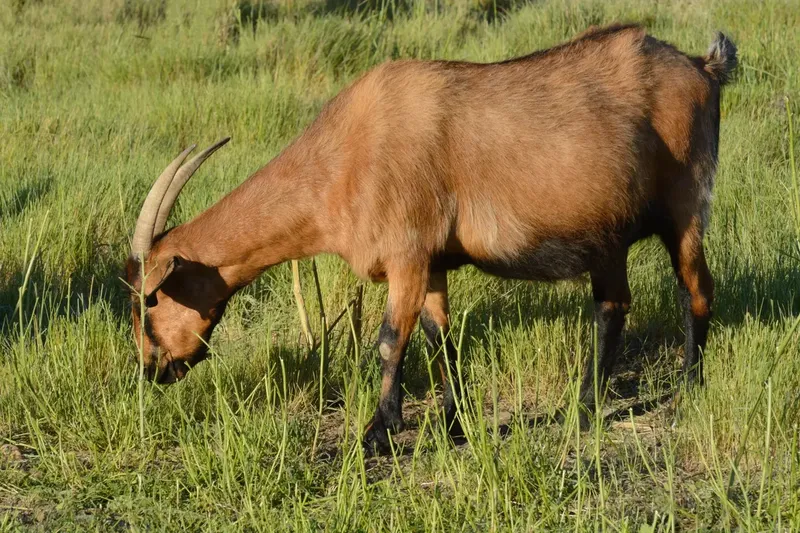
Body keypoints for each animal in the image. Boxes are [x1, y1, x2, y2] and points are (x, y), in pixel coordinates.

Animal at [125, 24, 737, 454]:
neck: (344, 157)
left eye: (148, 300)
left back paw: (686, 390)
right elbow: (439, 335)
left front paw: (378, 432)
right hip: (607, 236)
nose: (153, 367)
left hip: (685, 208)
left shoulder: (408, 254)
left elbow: (389, 340)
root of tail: (703, 67)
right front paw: (452, 422)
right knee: (613, 306)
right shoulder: (435, 263)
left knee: (696, 290)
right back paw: (583, 408)